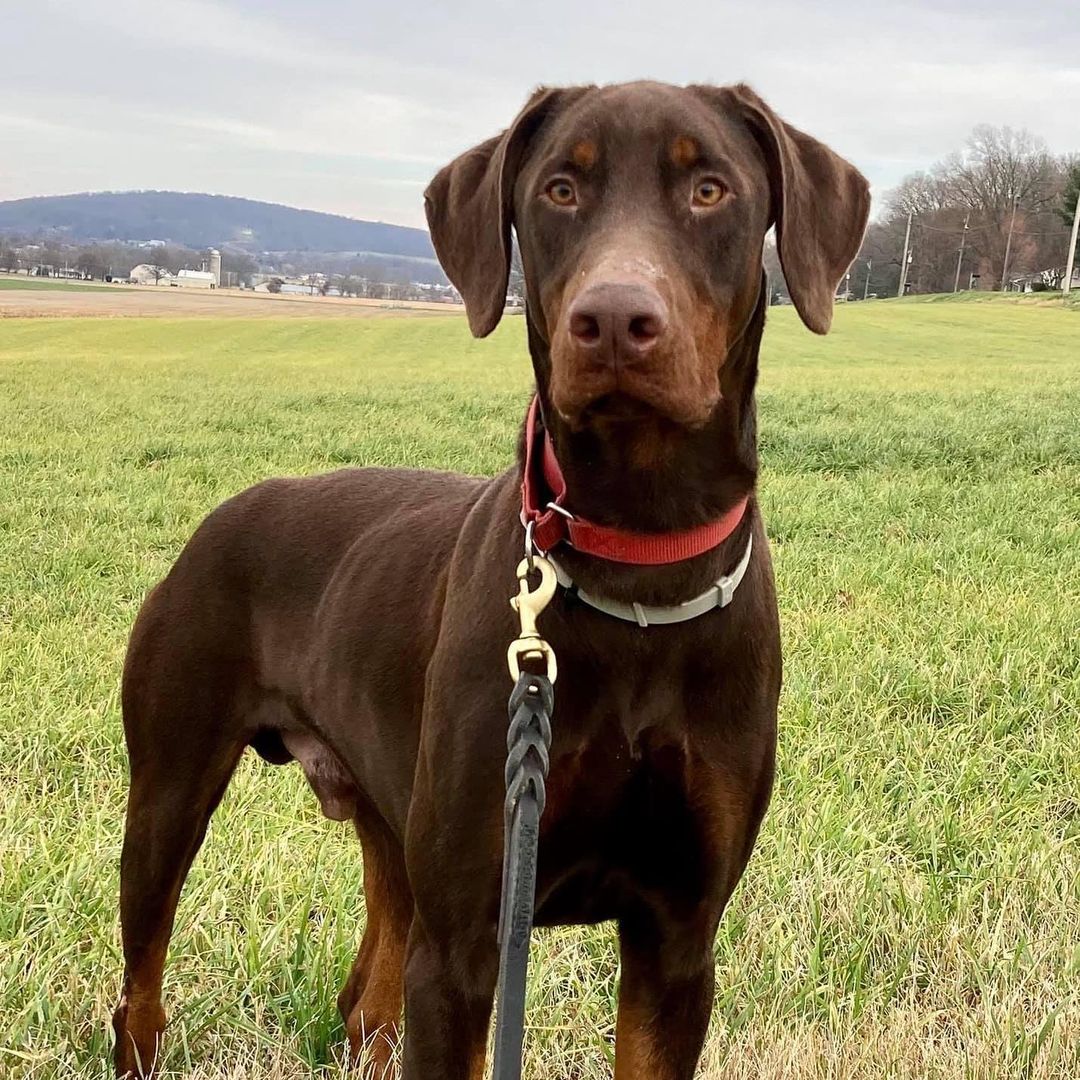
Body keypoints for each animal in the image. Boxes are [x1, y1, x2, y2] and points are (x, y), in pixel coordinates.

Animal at [111, 79, 868, 1075]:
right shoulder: (469, 938)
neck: (638, 560)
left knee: (367, 996)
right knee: (141, 985)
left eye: (711, 189)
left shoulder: (679, 936)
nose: (614, 320)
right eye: (559, 190)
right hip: (170, 787)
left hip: (390, 816)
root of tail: (218, 520)